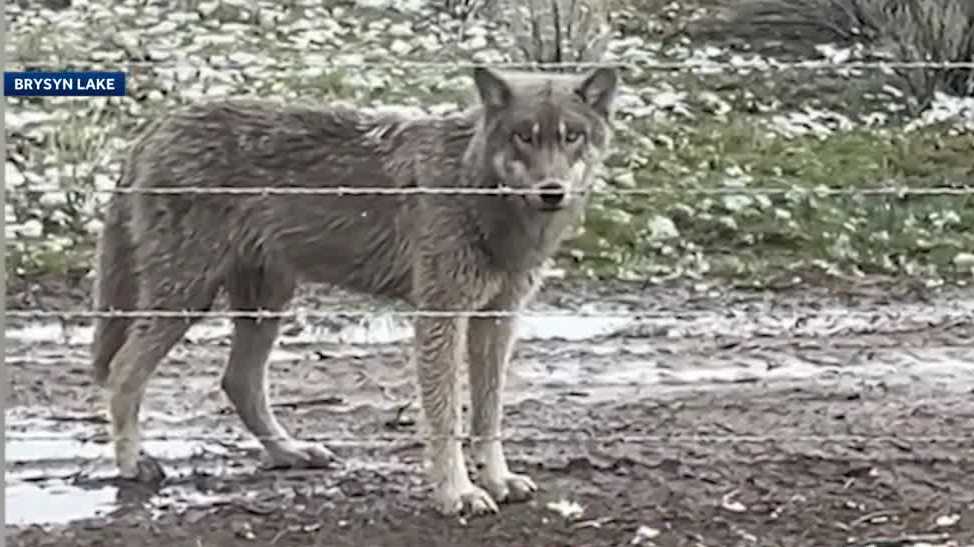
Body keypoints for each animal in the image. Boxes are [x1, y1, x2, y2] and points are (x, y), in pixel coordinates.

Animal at [90, 65, 619, 516]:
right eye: (523, 136)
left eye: (571, 136)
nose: (552, 191)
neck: (477, 191)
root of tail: (154, 128)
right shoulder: (441, 317)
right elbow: (445, 418)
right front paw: (457, 494)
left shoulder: (498, 319)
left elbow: (488, 414)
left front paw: (497, 481)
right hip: (189, 298)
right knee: (124, 372)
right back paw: (132, 465)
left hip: (266, 303)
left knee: (238, 381)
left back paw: (288, 451)